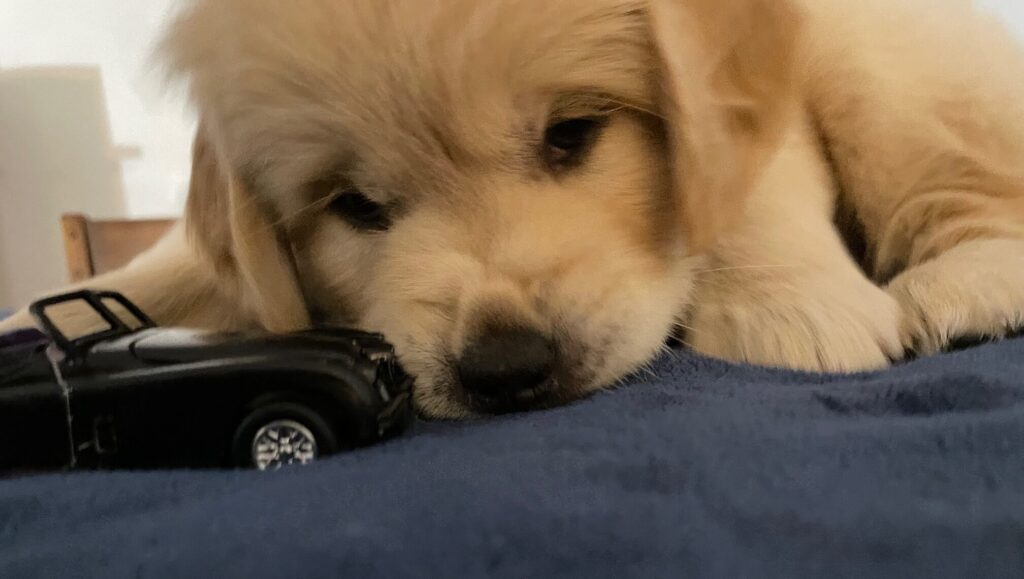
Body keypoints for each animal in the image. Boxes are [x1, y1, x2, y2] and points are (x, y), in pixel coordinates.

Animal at [6, 0, 1024, 418]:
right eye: (356, 205)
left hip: (888, 63)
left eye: (572, 134)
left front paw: (787, 312)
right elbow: (161, 274)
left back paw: (966, 287)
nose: (504, 368)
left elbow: (741, 171)